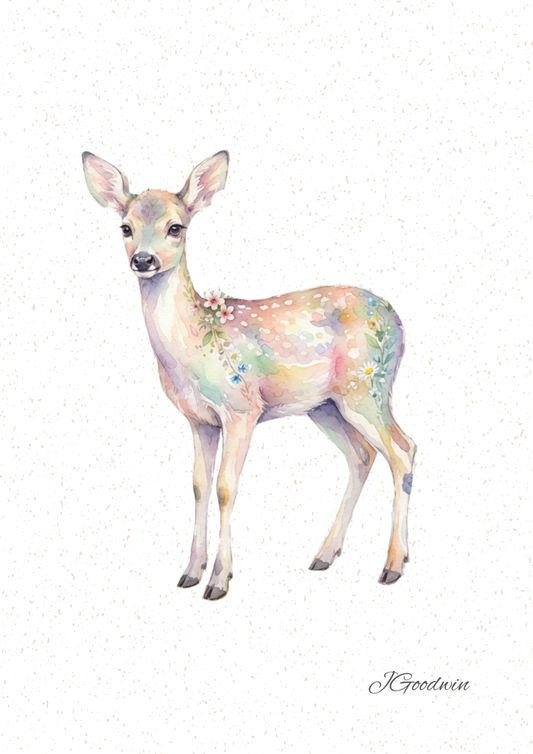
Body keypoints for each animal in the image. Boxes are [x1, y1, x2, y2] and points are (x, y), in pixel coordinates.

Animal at [82, 150, 416, 601]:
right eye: (125, 227)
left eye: (175, 227)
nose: (144, 261)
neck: (192, 345)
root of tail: (397, 320)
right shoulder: (200, 420)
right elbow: (199, 485)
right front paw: (190, 572)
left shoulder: (242, 408)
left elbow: (226, 487)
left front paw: (219, 580)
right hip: (325, 406)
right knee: (362, 456)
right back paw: (325, 555)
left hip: (367, 387)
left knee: (403, 450)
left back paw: (393, 565)